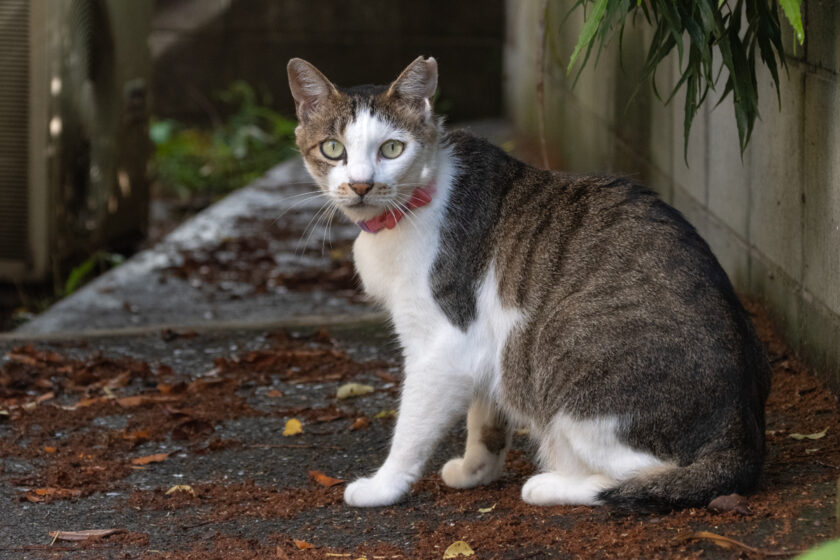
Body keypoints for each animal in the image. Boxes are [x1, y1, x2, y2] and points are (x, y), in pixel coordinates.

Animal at [288, 57, 768, 512]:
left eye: (392, 148)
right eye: (333, 148)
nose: (361, 184)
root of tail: (739, 434)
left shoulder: (445, 344)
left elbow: (412, 427)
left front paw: (382, 486)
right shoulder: (485, 344)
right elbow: (483, 415)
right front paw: (475, 468)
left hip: (568, 358)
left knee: (639, 477)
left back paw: (551, 484)